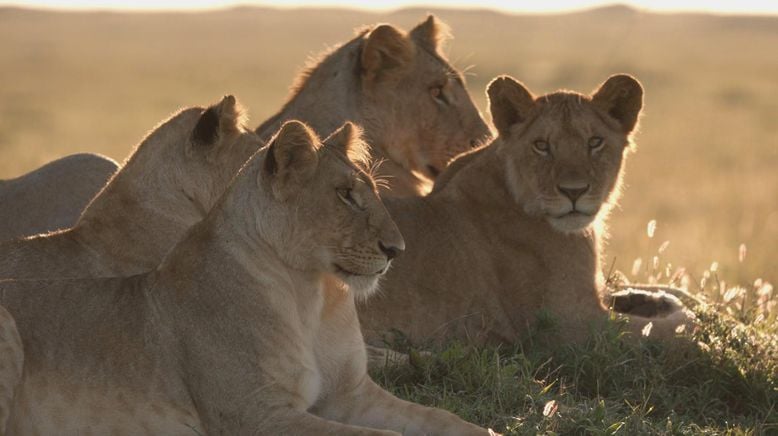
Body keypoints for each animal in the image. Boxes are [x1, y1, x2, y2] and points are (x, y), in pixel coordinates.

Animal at [0, 120, 488, 436]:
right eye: (345, 195)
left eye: (371, 191)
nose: (396, 250)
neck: (312, 294)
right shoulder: (256, 415)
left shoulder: (350, 395)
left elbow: (443, 419)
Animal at [354, 75, 688, 346]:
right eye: (542, 145)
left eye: (595, 142)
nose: (574, 191)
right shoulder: (572, 325)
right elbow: (667, 334)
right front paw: (683, 319)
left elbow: (654, 289)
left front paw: (662, 298)